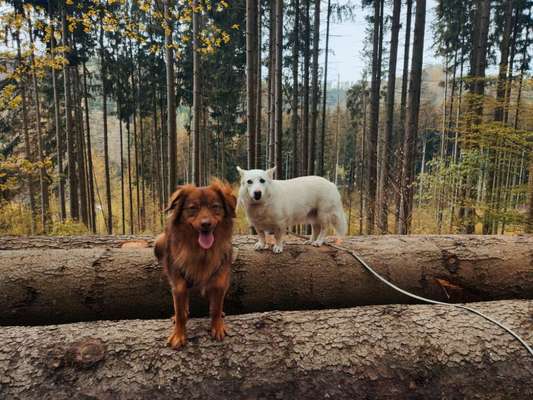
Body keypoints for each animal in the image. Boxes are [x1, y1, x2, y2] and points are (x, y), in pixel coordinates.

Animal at [155, 180, 236, 348]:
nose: (206, 224)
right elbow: (180, 312)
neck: (201, 252)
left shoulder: (220, 279)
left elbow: (216, 307)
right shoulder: (178, 284)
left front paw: (217, 326)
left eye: (215, 206)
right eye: (193, 208)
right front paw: (179, 335)